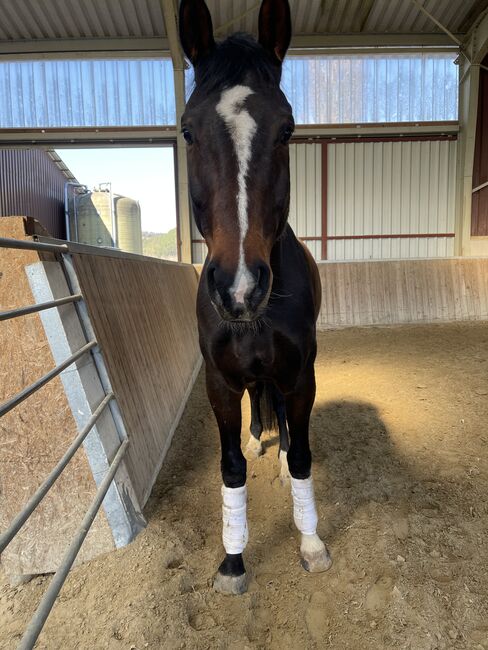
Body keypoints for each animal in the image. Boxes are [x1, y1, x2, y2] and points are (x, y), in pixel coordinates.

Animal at [179, 0, 332, 592]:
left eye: (287, 128)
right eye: (188, 131)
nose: (239, 287)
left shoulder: (300, 373)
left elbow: (305, 457)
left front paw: (310, 542)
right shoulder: (219, 382)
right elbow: (229, 468)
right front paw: (233, 558)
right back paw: (256, 436)